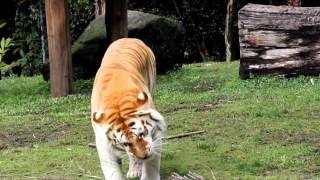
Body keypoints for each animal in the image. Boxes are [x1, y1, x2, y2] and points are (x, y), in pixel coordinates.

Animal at [90, 38, 165, 180]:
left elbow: (151, 164)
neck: (117, 101)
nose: (143, 156)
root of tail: (128, 38)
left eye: (142, 134)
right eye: (125, 143)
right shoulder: (104, 143)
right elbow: (112, 170)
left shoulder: (156, 132)